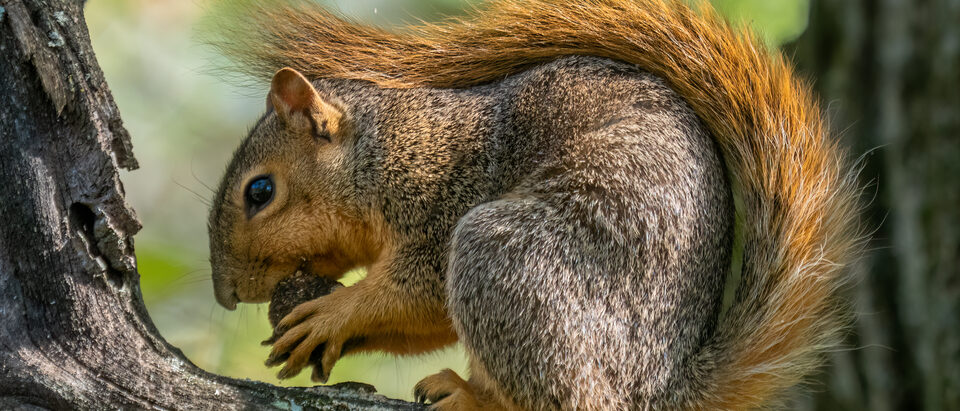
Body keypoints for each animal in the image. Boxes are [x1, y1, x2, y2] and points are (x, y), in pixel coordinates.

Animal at [206, 0, 863, 409]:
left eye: (259, 192)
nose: (226, 296)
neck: (387, 150)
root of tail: (659, 392)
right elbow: (423, 321)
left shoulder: (444, 198)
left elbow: (416, 291)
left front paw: (332, 314)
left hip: (507, 257)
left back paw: (474, 400)